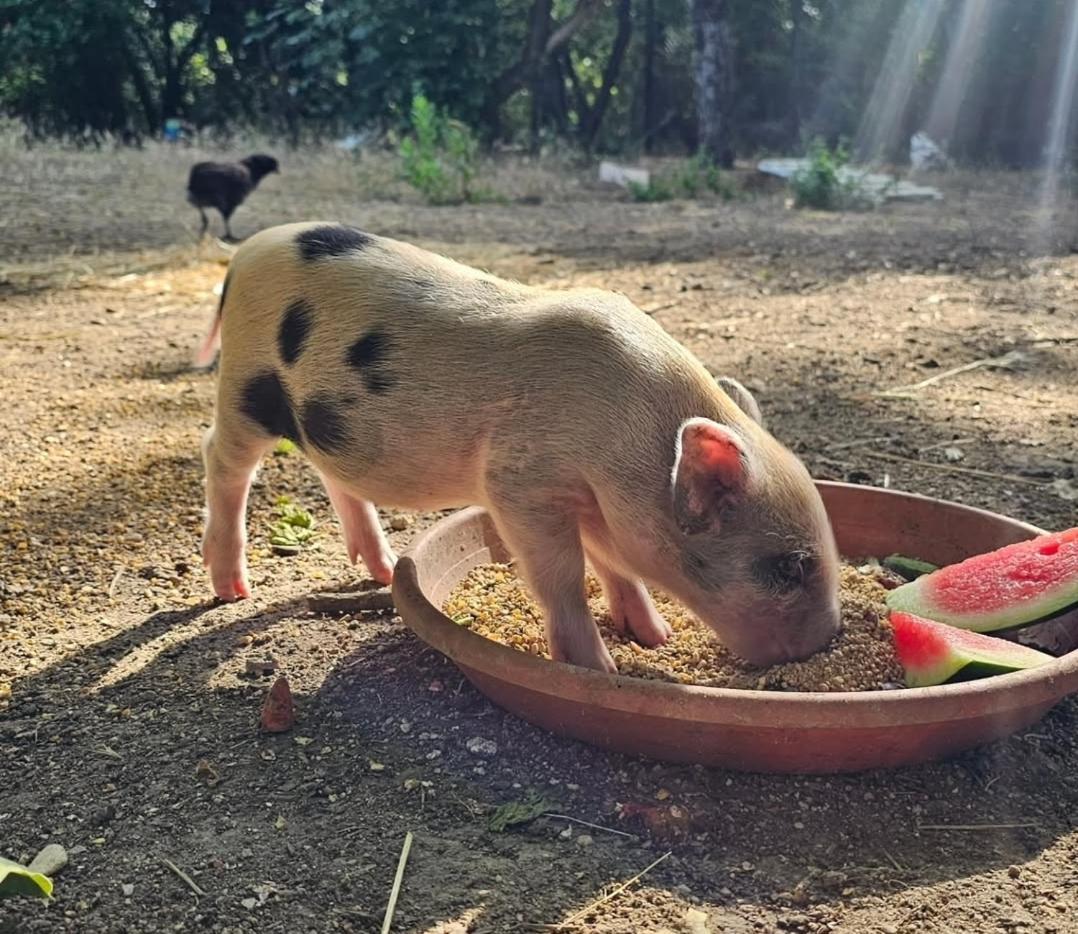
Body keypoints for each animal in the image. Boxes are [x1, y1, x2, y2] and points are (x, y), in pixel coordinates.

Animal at [195, 222, 840, 672]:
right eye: (790, 566)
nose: (828, 641)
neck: (627, 440)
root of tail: (244, 255)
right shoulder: (520, 483)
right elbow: (563, 577)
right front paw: (601, 670)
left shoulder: (592, 501)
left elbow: (613, 564)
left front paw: (655, 638)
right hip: (247, 386)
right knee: (221, 458)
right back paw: (231, 589)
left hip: (325, 422)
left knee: (333, 474)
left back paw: (378, 569)